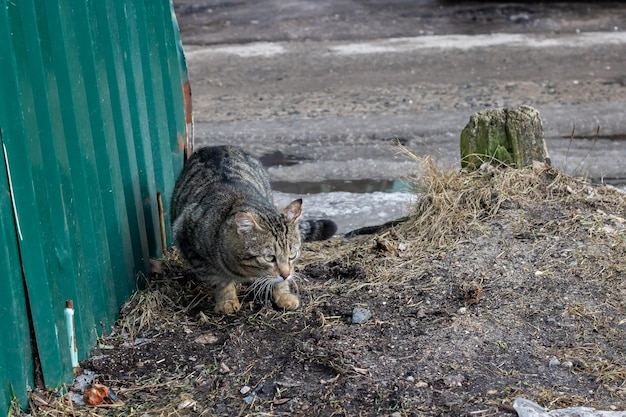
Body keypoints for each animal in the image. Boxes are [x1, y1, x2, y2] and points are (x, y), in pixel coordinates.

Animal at [169, 145, 336, 314]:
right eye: (269, 258)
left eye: (292, 255)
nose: (286, 275)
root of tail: (214, 147)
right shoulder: (189, 242)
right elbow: (220, 280)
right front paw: (227, 301)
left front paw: (284, 294)